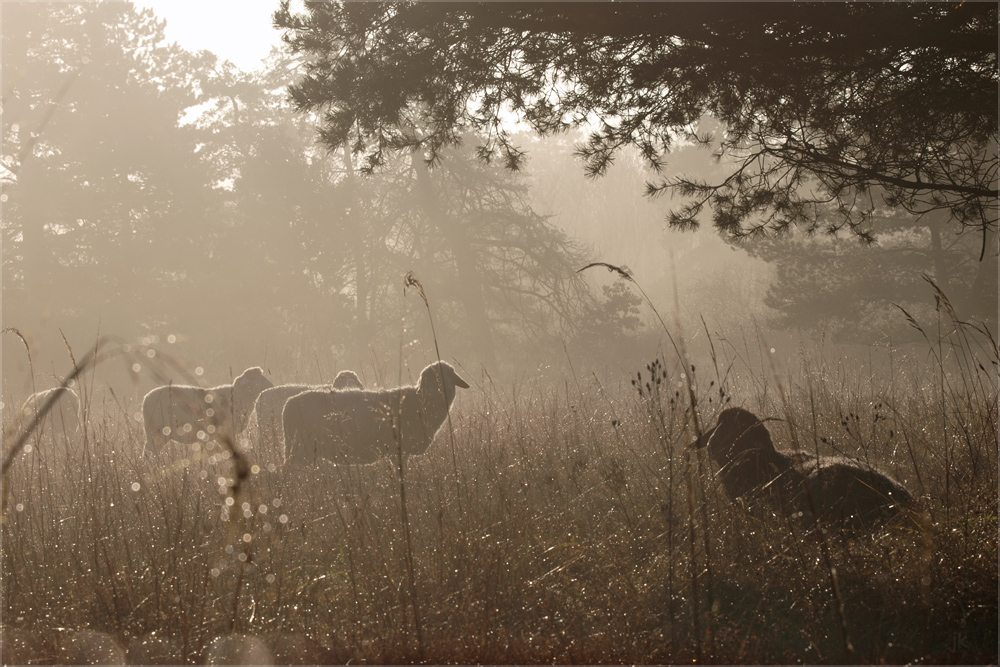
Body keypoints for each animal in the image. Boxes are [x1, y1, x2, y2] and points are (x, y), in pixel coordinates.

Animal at [142, 366, 274, 454]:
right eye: (255, 379)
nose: (271, 385)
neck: (237, 396)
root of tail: (145, 399)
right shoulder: (227, 430)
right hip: (156, 430)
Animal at [282, 362, 468, 468]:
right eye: (432, 377)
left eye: (451, 376)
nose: (446, 389)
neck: (419, 402)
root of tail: (289, 403)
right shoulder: (398, 450)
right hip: (298, 448)